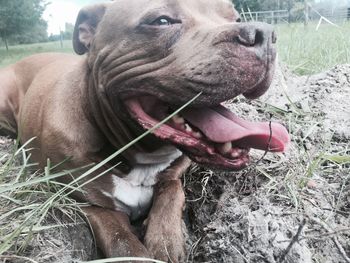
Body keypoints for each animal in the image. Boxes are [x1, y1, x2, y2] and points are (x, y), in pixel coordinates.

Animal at [0, 0, 290, 262]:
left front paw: (166, 242)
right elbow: (124, 245)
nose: (265, 34)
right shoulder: (89, 206)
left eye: (235, 17)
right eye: (161, 21)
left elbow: (171, 194)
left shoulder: (174, 175)